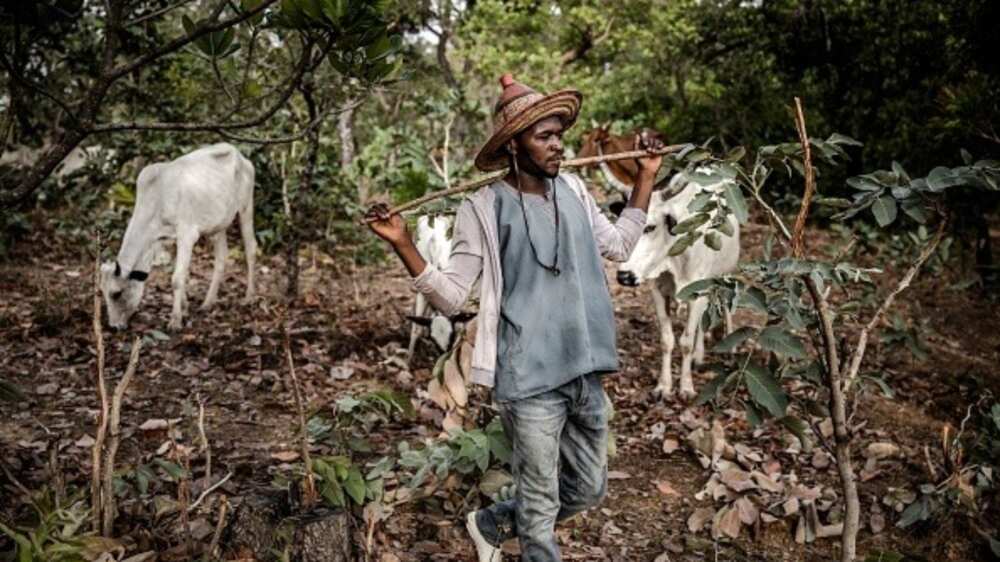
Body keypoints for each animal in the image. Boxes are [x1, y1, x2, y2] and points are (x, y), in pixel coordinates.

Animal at [100, 142, 256, 330]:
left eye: (116, 293)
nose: (113, 326)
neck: (158, 196)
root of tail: (238, 154)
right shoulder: (162, 239)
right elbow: (183, 275)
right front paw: (185, 308)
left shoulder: (187, 235)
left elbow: (176, 279)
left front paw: (175, 320)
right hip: (218, 225)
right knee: (221, 258)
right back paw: (208, 303)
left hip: (246, 207)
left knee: (250, 249)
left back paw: (249, 297)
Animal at [616, 170, 744, 398]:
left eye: (650, 227)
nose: (625, 276)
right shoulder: (658, 291)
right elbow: (667, 340)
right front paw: (664, 386)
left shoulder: (697, 292)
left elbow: (686, 342)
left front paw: (686, 387)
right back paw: (699, 357)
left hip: (727, 271)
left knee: (726, 306)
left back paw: (730, 350)